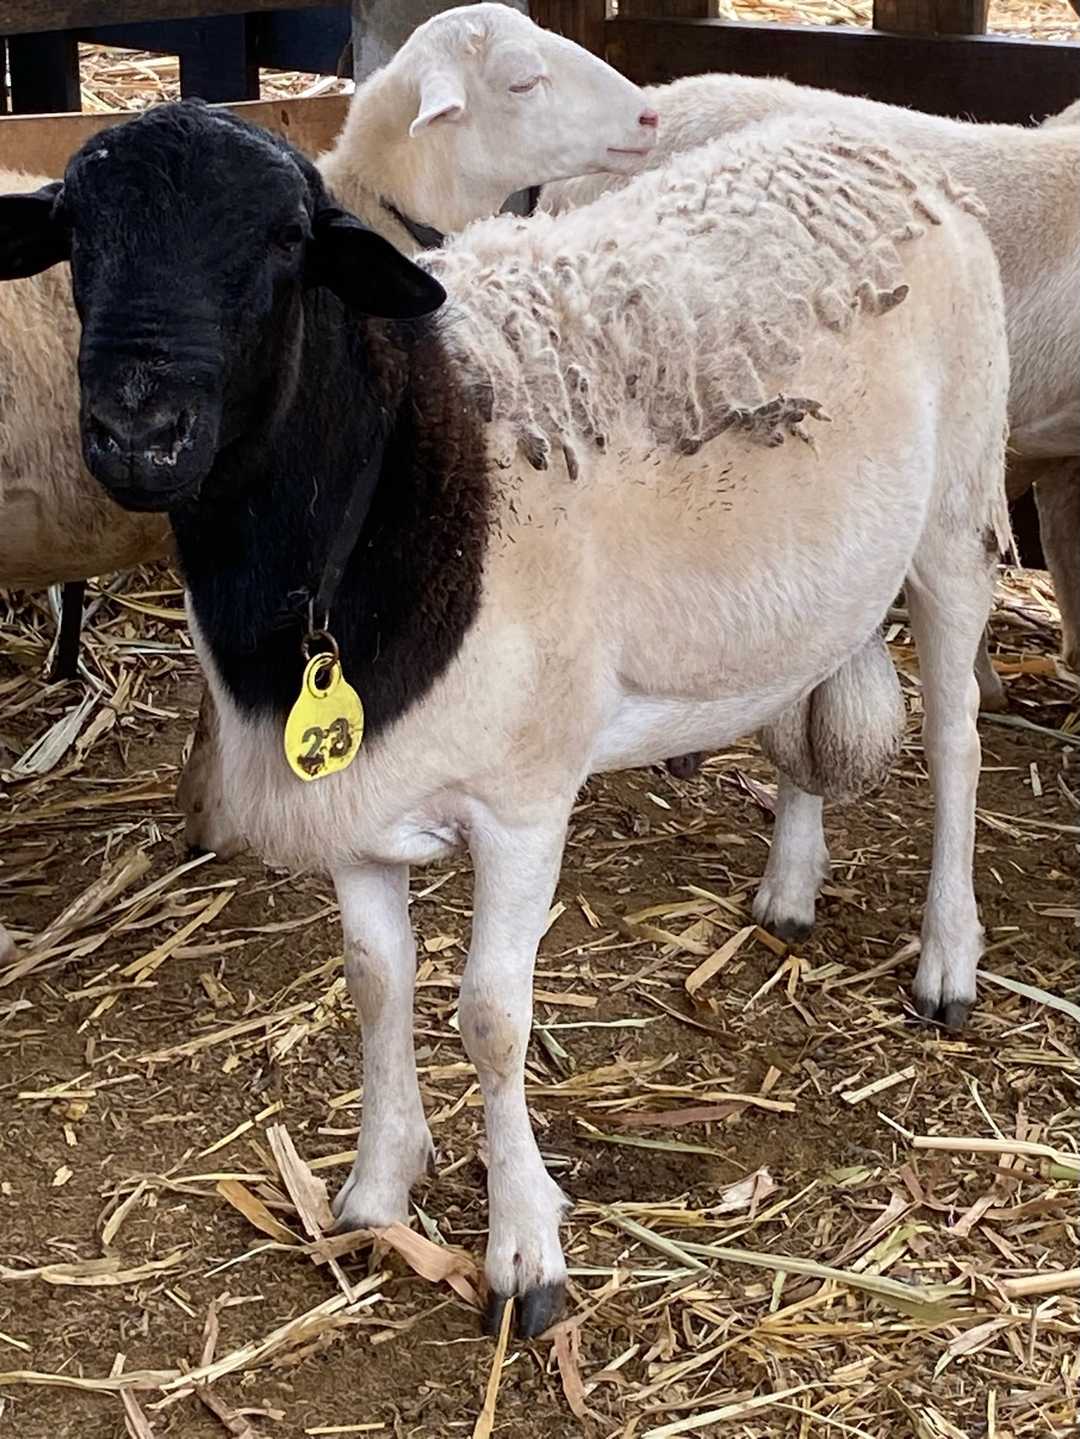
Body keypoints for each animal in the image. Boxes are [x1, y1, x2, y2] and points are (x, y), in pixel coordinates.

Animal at [0, 99, 1010, 1335]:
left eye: (286, 244)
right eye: (76, 240)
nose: (138, 433)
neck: (396, 471)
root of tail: (870, 144)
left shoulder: (526, 800)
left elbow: (490, 1013)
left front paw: (525, 1251)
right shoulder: (356, 796)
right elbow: (374, 981)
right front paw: (374, 1192)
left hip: (959, 508)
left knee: (958, 741)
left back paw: (948, 958)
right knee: (797, 724)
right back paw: (788, 891)